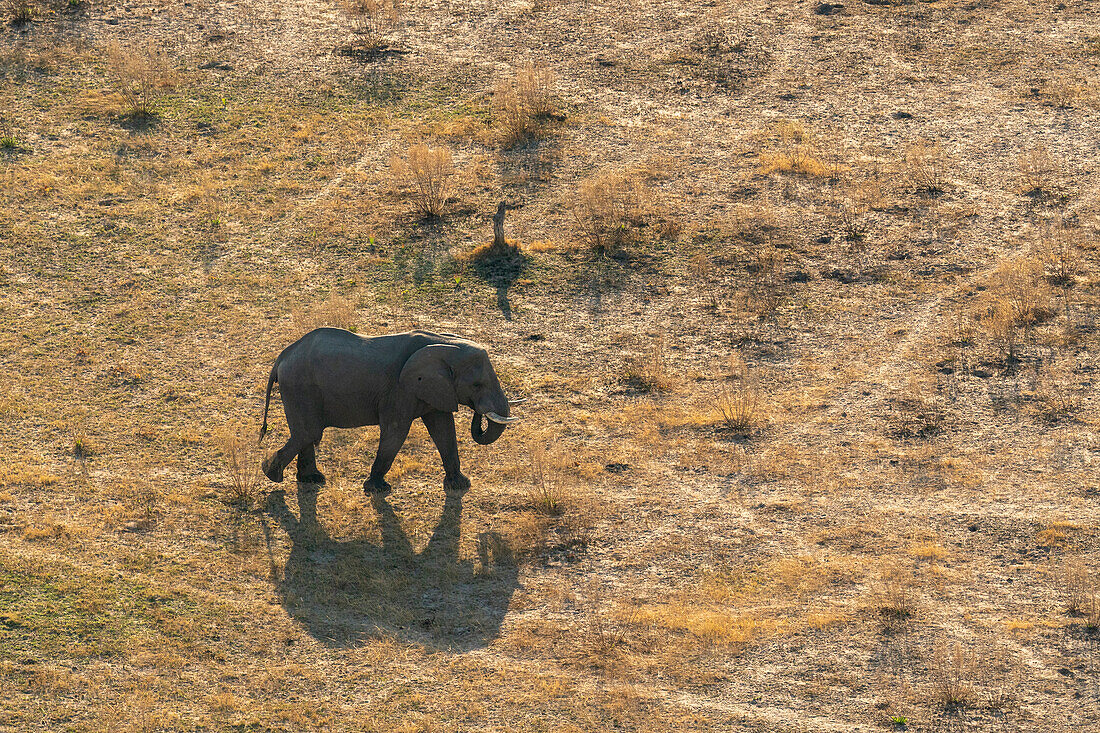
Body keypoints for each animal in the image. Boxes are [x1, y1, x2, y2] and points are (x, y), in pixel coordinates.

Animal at [259, 330, 521, 490]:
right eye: (477, 385)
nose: (479, 411)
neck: (444, 343)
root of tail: (282, 357)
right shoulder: (400, 389)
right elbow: (396, 431)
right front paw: (377, 489)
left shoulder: (435, 389)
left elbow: (444, 429)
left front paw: (460, 485)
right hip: (299, 386)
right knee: (309, 433)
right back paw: (271, 474)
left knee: (307, 435)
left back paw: (310, 480)